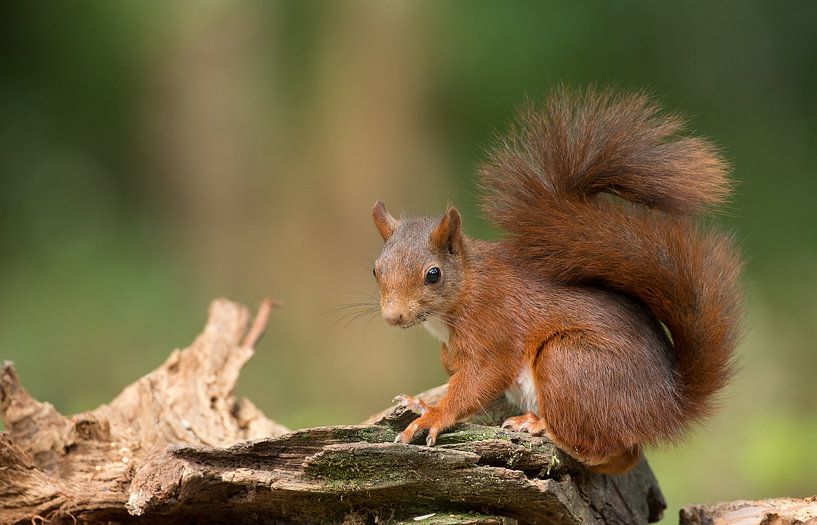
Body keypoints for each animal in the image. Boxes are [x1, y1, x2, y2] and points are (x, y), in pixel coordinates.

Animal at [370, 87, 742, 475]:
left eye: (433, 274)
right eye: (375, 270)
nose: (393, 317)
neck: (467, 287)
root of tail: (667, 406)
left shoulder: (495, 326)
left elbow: (480, 379)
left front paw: (433, 416)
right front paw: (421, 401)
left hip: (569, 362)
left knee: (612, 451)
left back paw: (541, 426)